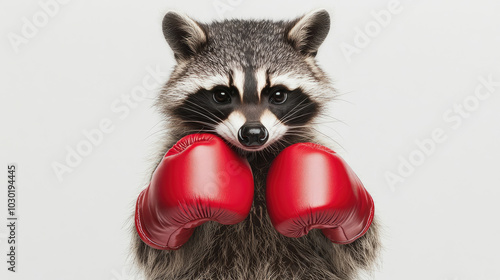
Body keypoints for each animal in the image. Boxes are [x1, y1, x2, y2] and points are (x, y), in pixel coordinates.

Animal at [131, 8, 380, 280]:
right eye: (222, 95)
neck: (254, 155)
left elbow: (354, 245)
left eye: (278, 95)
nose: (253, 133)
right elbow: (160, 250)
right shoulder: (169, 151)